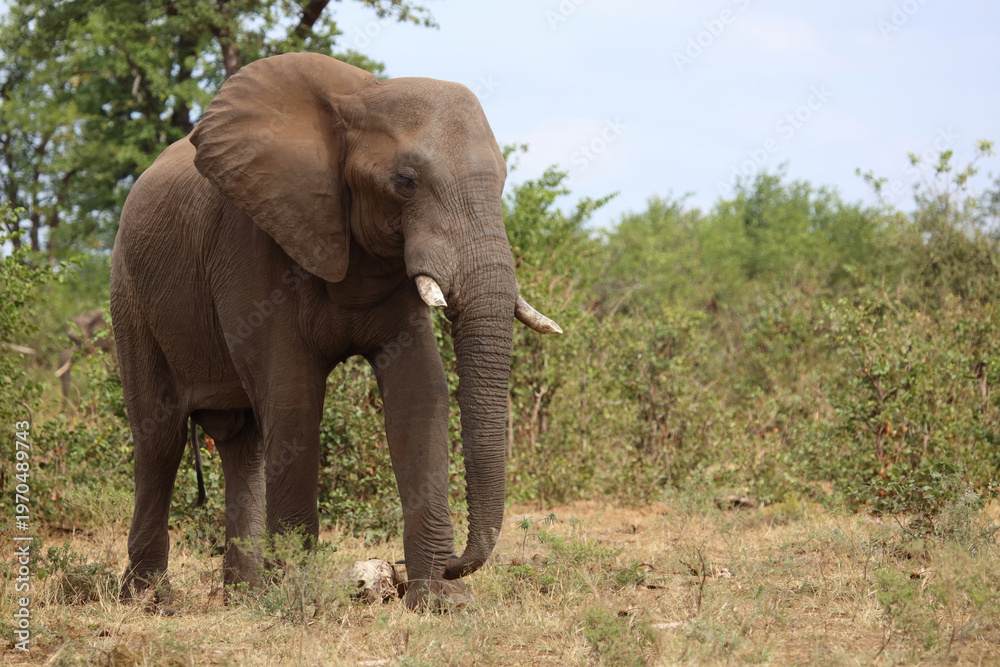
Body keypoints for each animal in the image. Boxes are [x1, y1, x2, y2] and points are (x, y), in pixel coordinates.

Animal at [110, 52, 562, 610]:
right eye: (405, 180)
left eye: (502, 181)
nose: (459, 564)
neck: (362, 98)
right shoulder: (253, 241)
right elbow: (294, 398)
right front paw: (299, 603)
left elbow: (421, 393)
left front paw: (441, 601)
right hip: (129, 293)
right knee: (160, 437)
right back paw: (151, 600)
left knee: (244, 445)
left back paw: (245, 597)